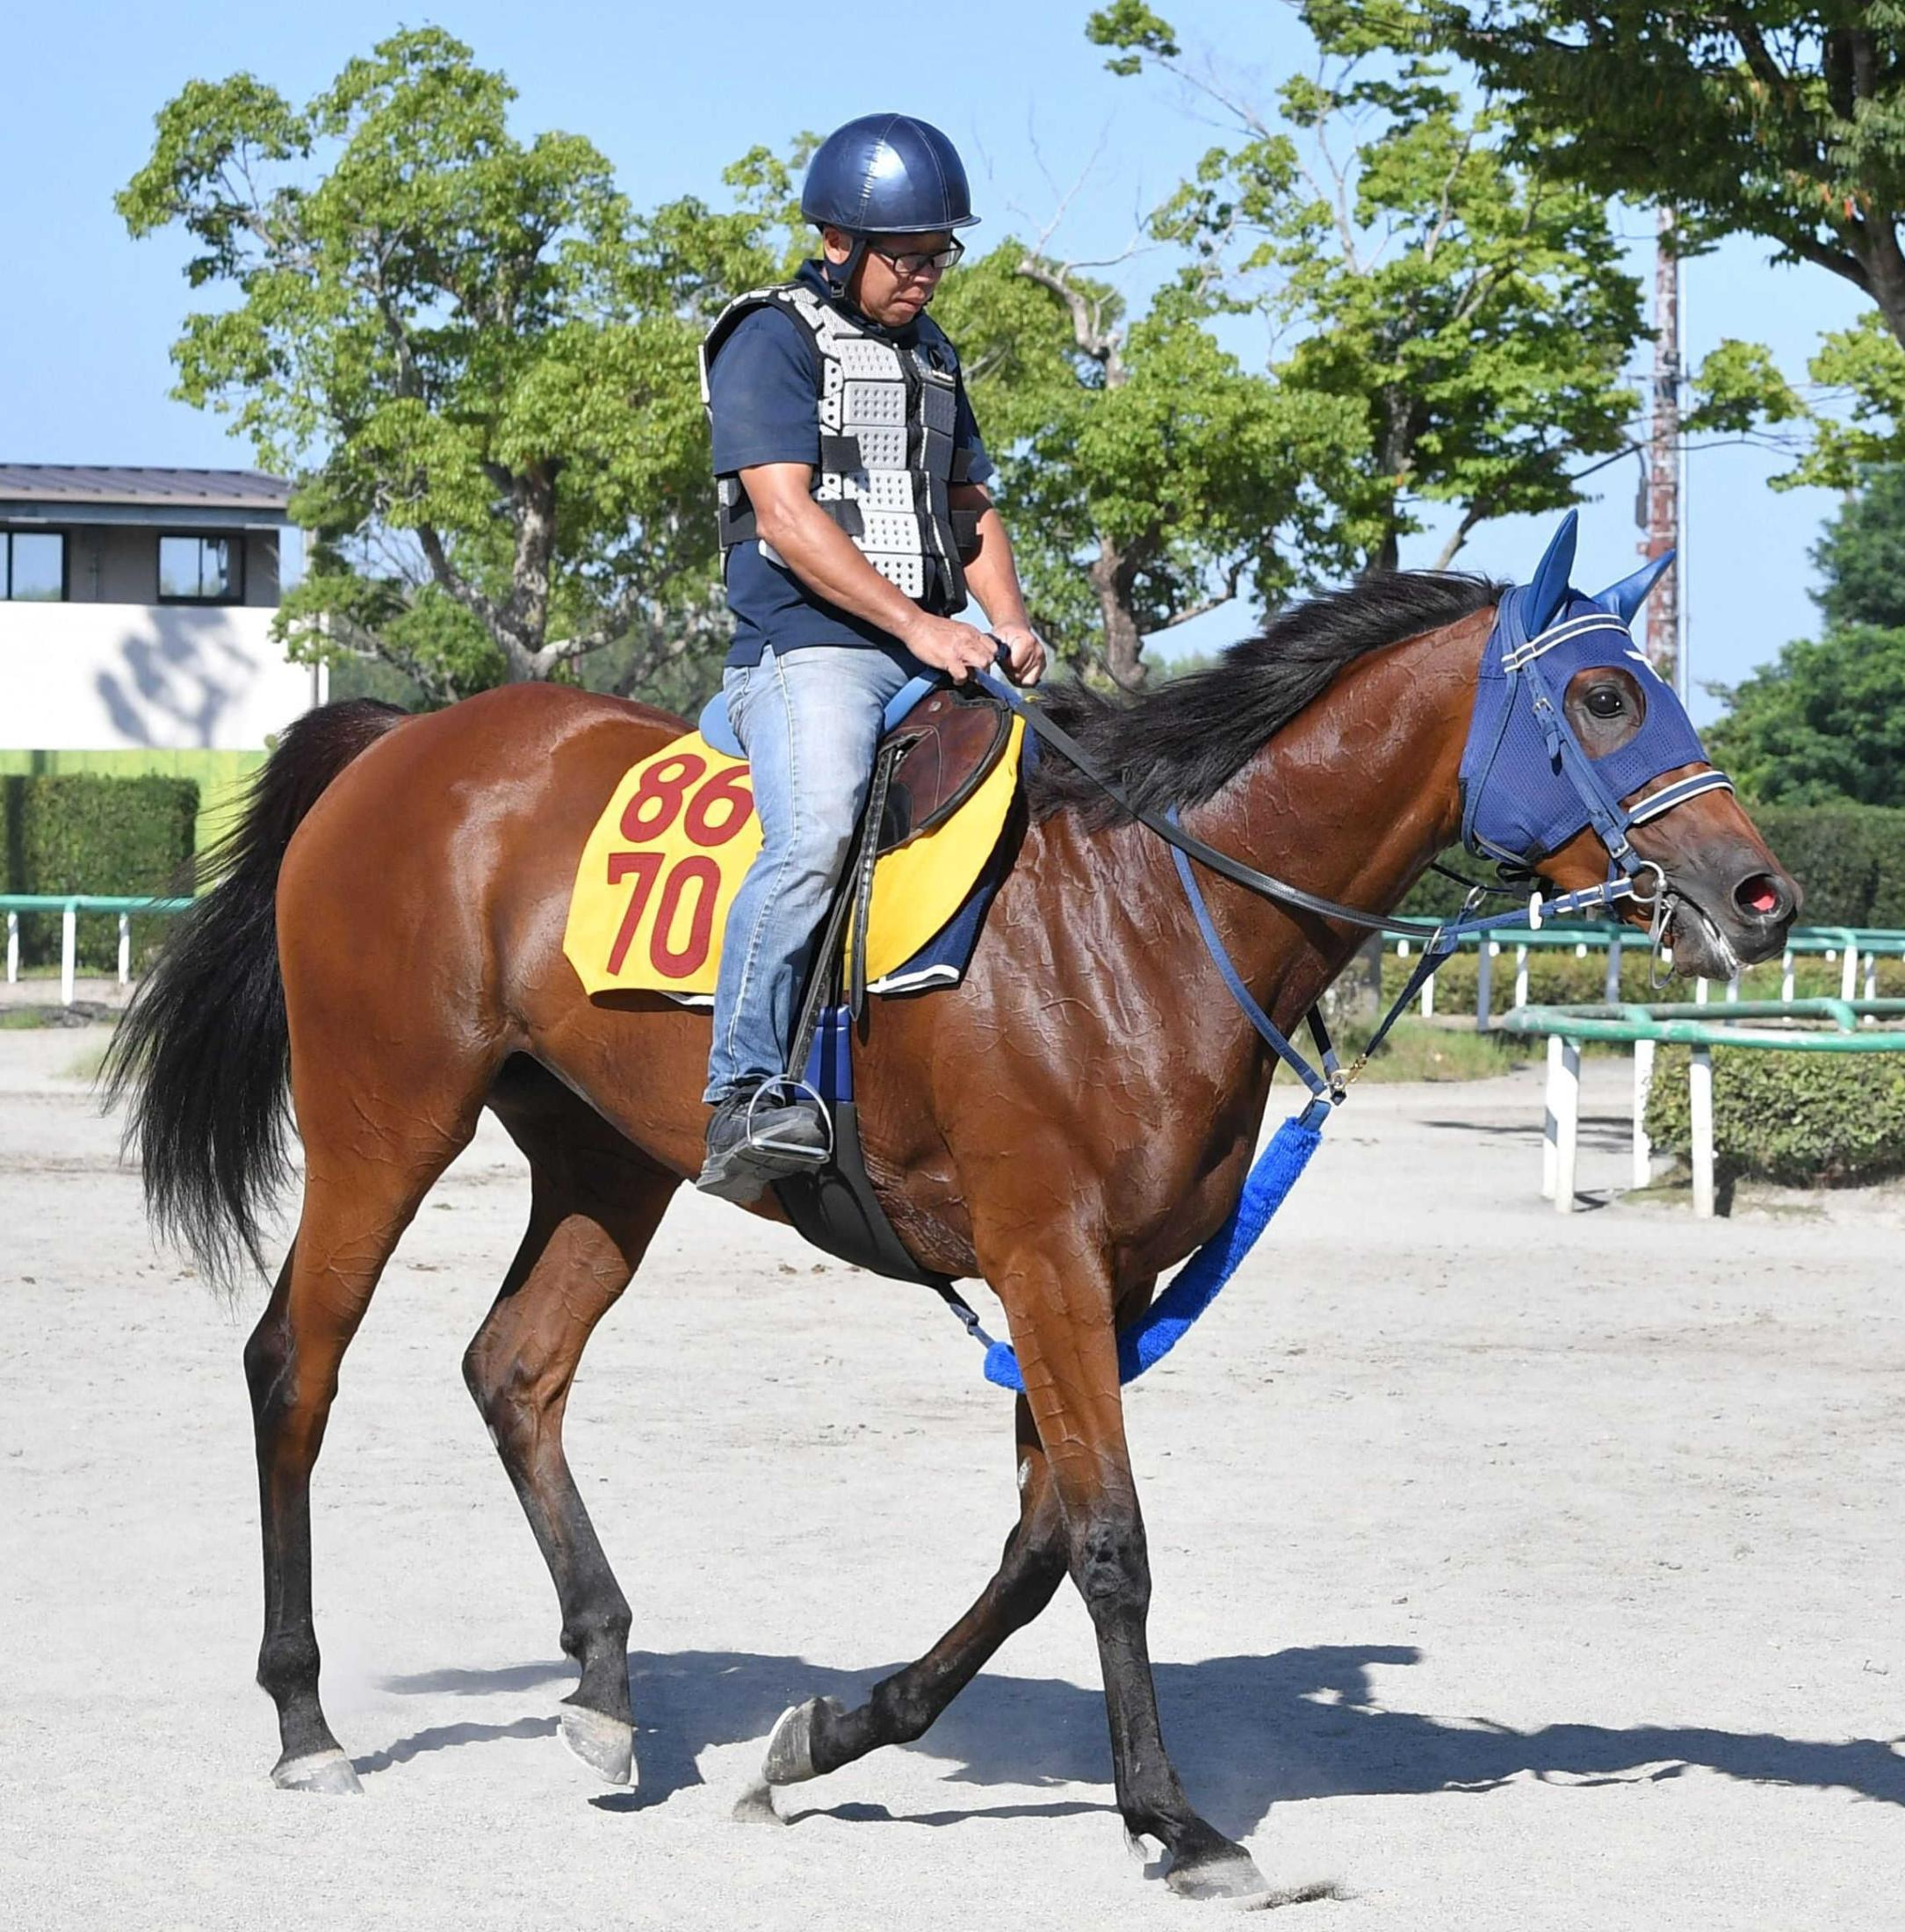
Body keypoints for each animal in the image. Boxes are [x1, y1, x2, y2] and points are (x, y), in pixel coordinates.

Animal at [105, 537, 1797, 1905]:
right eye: (1603, 698)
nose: (1758, 894)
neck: (1144, 907)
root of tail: (406, 741)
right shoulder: (1045, 1257)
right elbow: (1107, 1541)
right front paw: (1176, 1824)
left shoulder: (1109, 1281)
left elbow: (1039, 1543)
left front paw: (823, 1740)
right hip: (385, 1118)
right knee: (294, 1368)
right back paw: (306, 1718)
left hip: (605, 1157)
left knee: (513, 1368)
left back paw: (599, 1689)